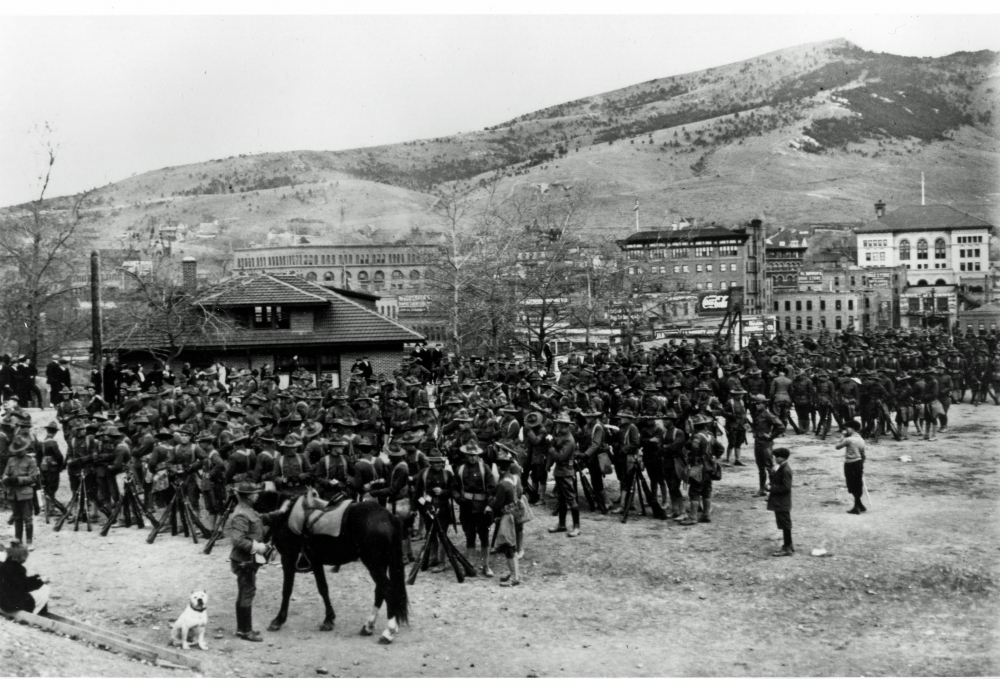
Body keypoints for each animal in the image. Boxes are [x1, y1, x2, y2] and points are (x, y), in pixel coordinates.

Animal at [260, 494, 412, 644]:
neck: (285, 514)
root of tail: (390, 517)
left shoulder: (288, 559)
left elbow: (287, 590)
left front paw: (278, 620)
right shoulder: (316, 562)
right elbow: (323, 589)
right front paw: (329, 619)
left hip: (374, 565)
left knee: (388, 591)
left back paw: (388, 632)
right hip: (380, 564)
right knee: (380, 592)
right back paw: (368, 626)